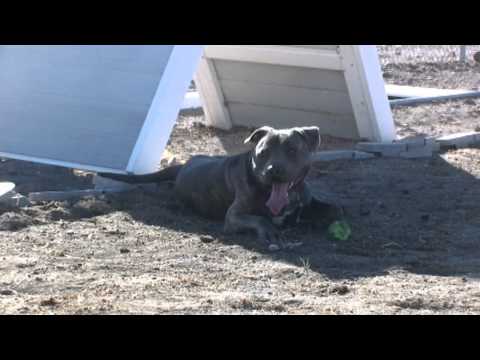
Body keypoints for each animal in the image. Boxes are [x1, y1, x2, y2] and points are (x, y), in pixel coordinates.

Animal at [99, 126, 344, 248]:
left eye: (292, 150)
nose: (273, 171)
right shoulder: (234, 216)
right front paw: (271, 231)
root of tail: (184, 165)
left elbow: (334, 209)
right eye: (263, 153)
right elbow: (259, 218)